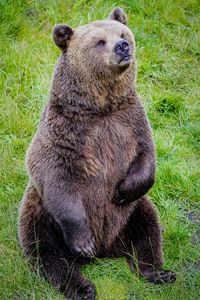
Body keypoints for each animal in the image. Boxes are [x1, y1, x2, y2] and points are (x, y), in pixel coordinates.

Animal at [18, 7, 175, 300]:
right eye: (99, 41)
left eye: (123, 33)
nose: (123, 46)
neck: (101, 107)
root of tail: (108, 249)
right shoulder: (65, 135)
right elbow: (58, 179)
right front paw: (84, 243)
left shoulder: (130, 122)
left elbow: (147, 156)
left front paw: (122, 191)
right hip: (40, 214)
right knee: (48, 253)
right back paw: (82, 286)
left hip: (134, 214)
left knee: (148, 233)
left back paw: (159, 273)